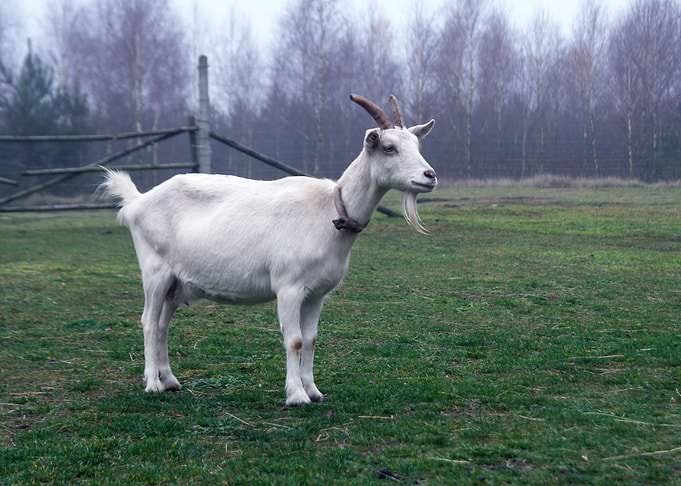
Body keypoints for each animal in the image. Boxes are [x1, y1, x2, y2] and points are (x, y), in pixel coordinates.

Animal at [99, 94, 437, 406]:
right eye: (389, 147)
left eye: (417, 145)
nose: (430, 176)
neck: (330, 211)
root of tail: (137, 202)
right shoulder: (289, 286)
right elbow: (295, 340)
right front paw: (296, 395)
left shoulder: (317, 292)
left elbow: (311, 339)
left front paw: (314, 391)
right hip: (155, 272)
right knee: (147, 322)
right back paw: (152, 384)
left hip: (176, 283)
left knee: (162, 325)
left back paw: (169, 380)